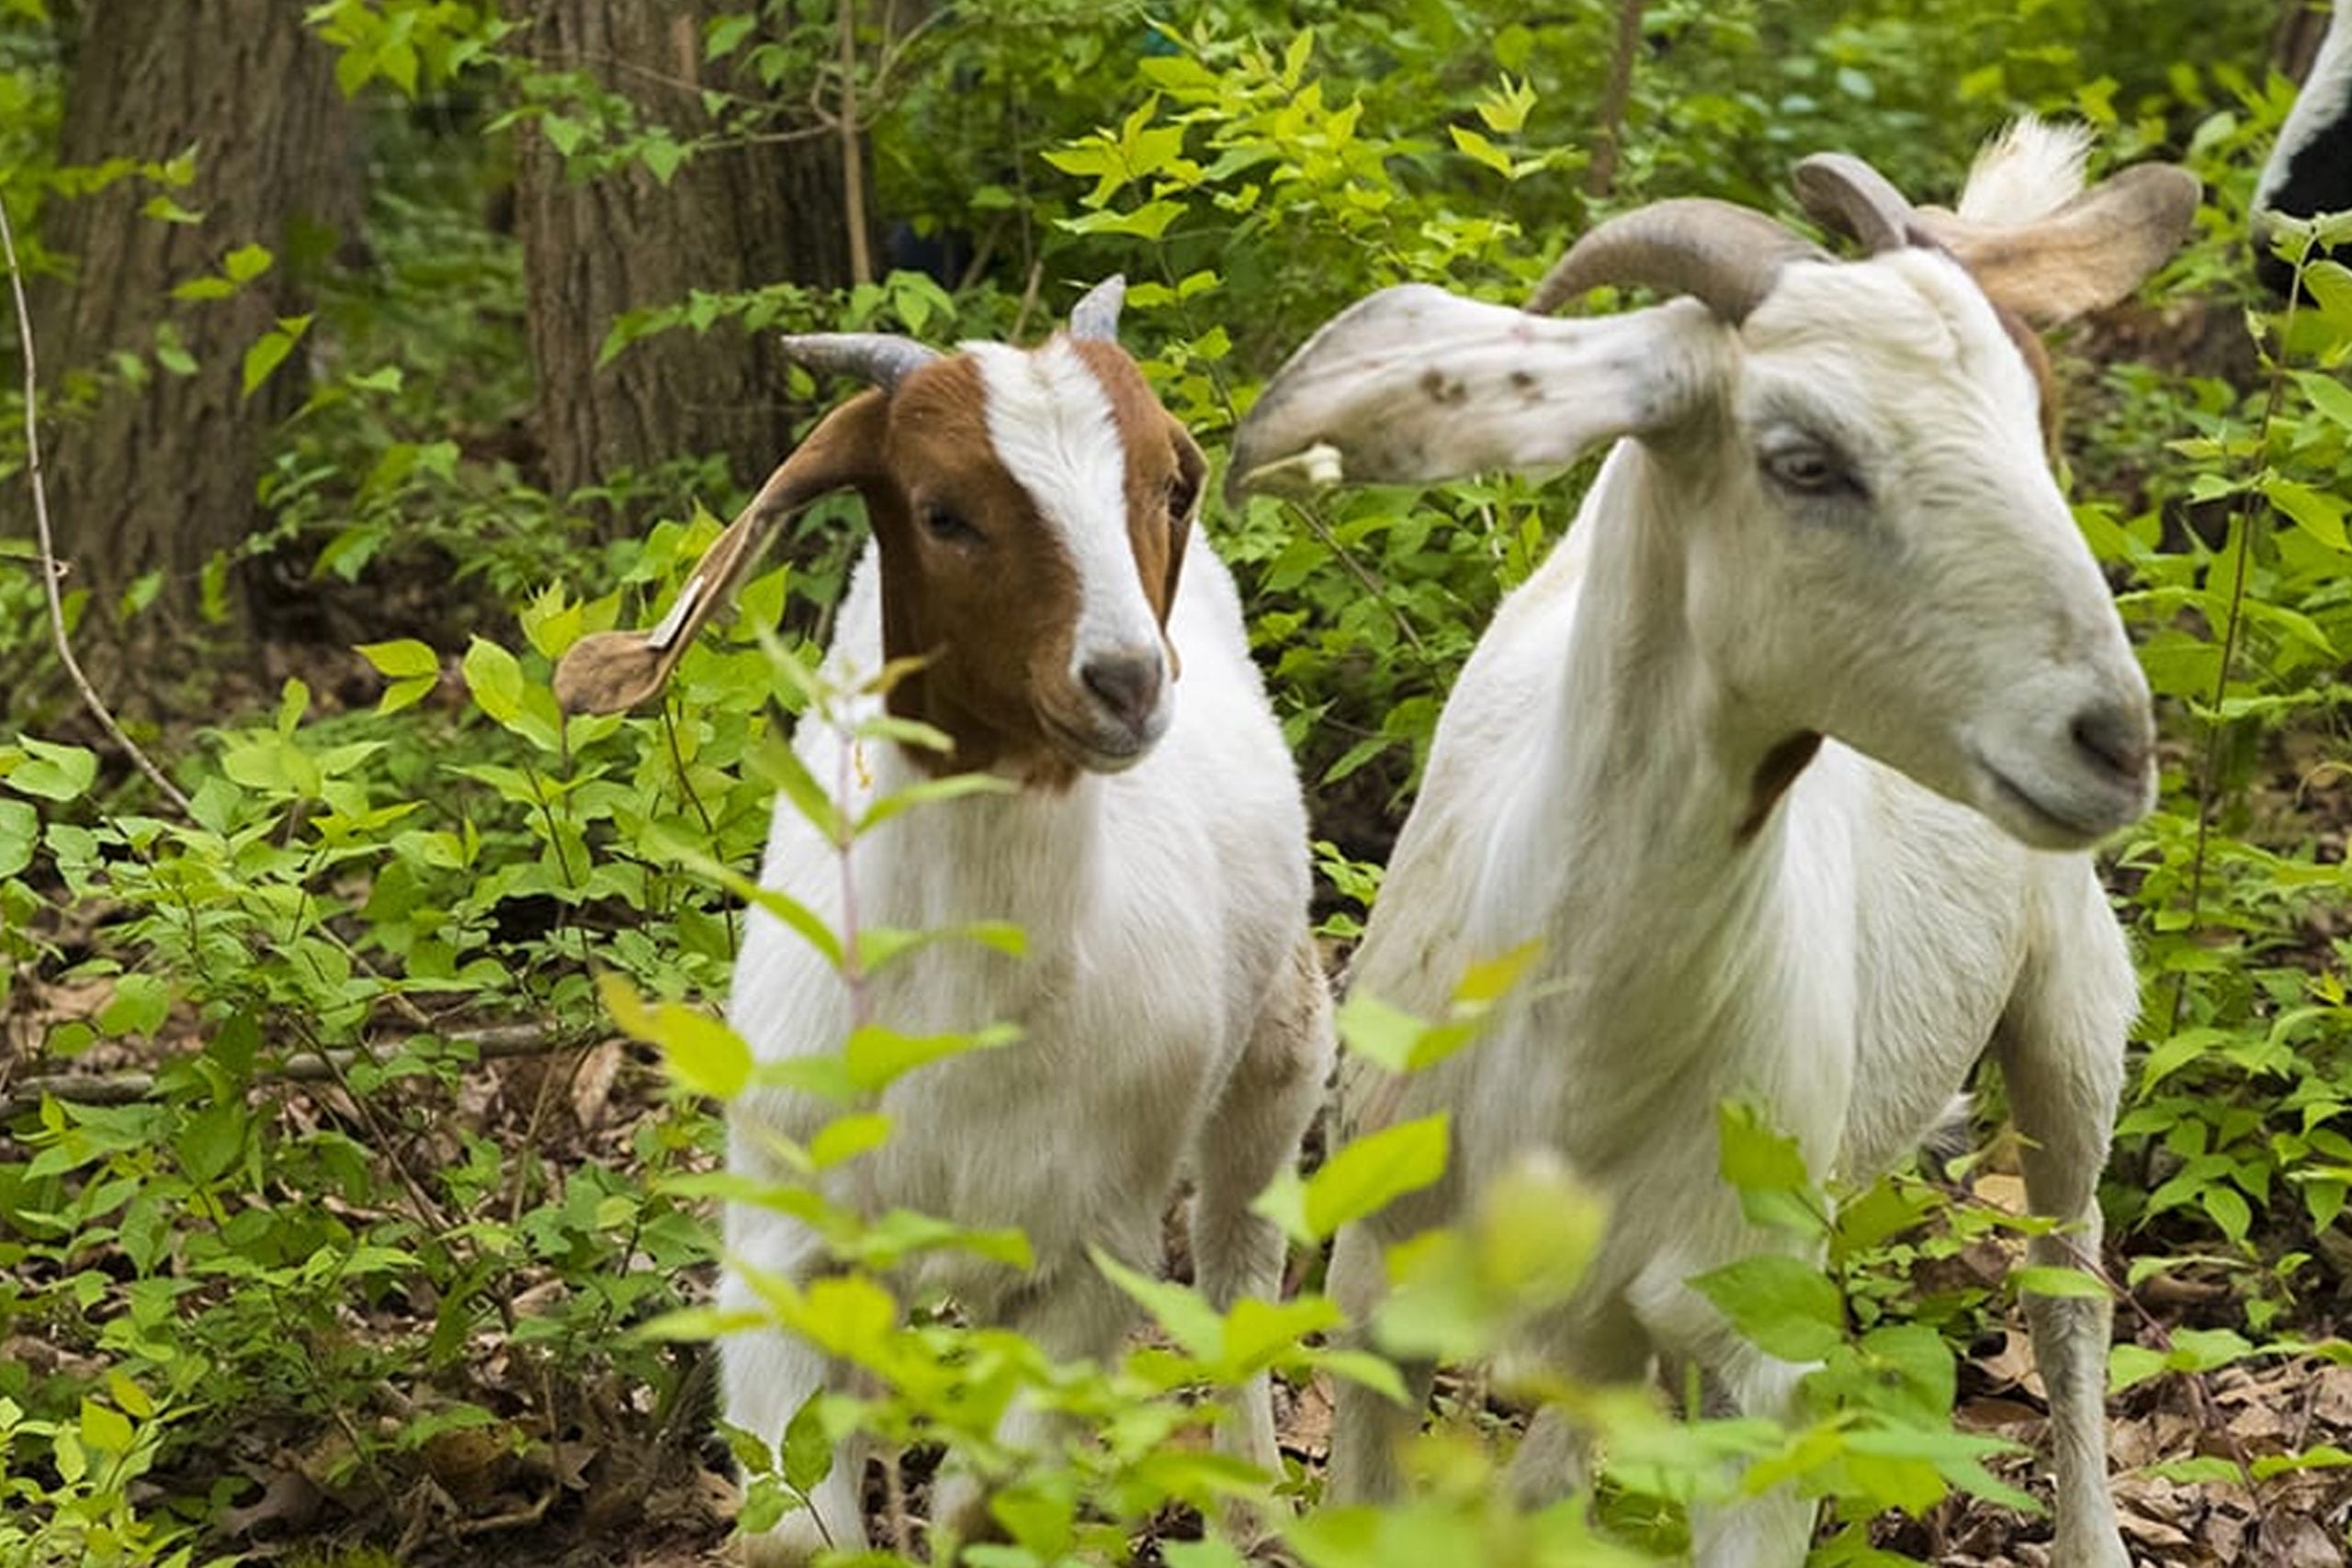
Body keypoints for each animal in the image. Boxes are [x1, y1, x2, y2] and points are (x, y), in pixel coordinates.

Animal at [560, 278, 1336, 1561]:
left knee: (1238, 1257)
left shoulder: (1088, 1252)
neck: (965, 1014)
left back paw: (1253, 1505)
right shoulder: (790, 1239)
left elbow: (984, 1503)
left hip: (1281, 1039)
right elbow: (799, 1528)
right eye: (943, 510)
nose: (1127, 682)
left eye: (1169, 484)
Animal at [1223, 125, 2191, 1568]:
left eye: (2043, 427)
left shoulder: (1766, 1357)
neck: (1575, 1064)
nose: (2112, 740)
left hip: (2071, 1004)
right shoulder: (1380, 1291)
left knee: (2066, 1285)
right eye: (1804, 458)